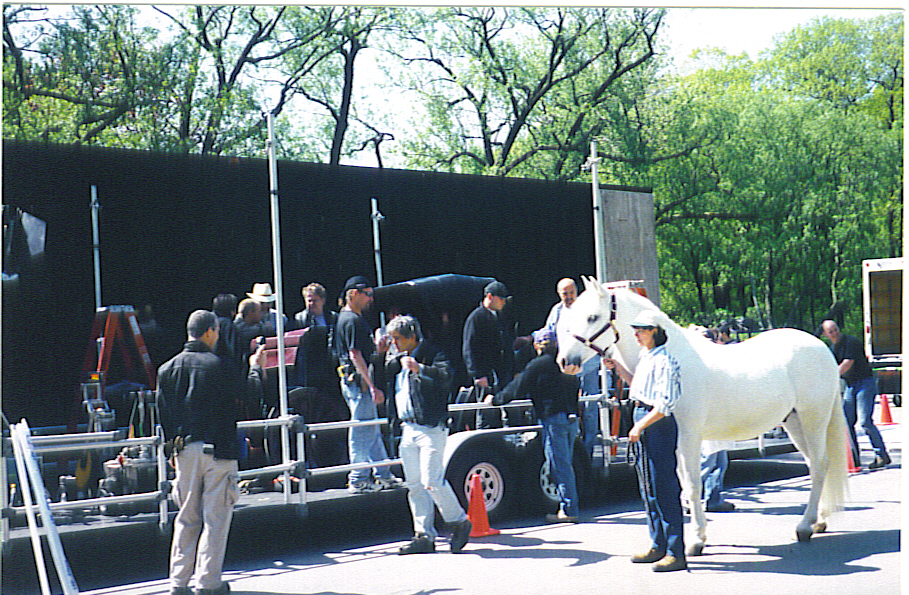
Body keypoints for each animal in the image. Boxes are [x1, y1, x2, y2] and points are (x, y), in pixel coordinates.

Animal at [556, 278, 848, 556]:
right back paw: (819, 521)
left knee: (820, 464)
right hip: (794, 422)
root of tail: (821, 348)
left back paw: (804, 527)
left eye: (592, 317)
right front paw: (696, 535)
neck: (671, 354)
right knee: (816, 465)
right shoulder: (675, 442)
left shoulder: (689, 436)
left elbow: (694, 484)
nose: (565, 362)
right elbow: (683, 487)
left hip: (813, 419)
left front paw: (695, 542)